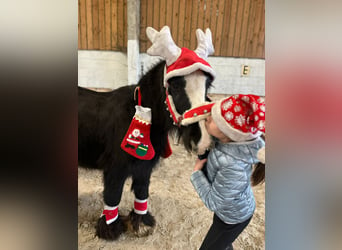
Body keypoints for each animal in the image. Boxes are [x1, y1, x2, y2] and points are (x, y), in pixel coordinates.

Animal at [79, 25, 215, 240]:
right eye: (175, 85)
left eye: (207, 84)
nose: (204, 140)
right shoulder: (115, 169)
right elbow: (112, 196)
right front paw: (110, 229)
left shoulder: (144, 166)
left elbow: (142, 191)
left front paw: (141, 223)